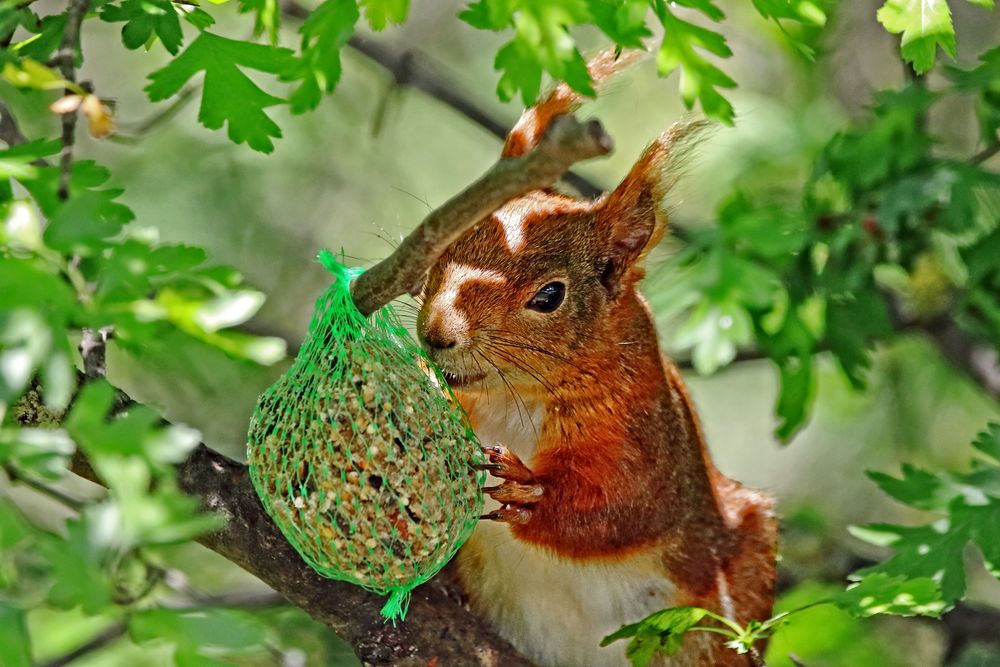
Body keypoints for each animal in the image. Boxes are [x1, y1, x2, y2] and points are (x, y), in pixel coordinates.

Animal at [418, 48, 776, 667]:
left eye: (549, 296)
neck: (511, 401)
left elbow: (622, 508)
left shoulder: (648, 439)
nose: (438, 333)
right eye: (442, 245)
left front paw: (530, 493)